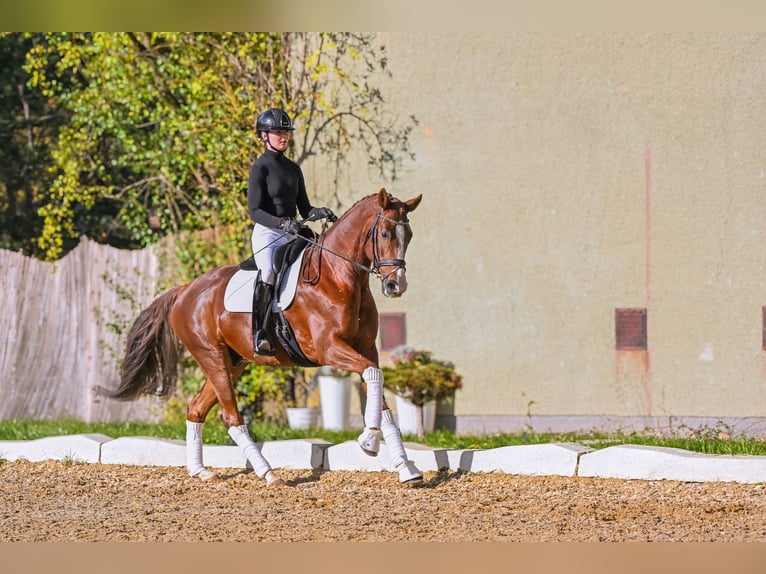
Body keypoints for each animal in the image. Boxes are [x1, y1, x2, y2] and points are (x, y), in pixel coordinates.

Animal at [97, 188, 424, 487]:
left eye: (408, 234)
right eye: (384, 233)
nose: (396, 286)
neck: (338, 277)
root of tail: (184, 290)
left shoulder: (366, 349)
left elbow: (379, 390)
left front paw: (406, 467)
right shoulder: (328, 349)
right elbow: (373, 375)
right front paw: (369, 441)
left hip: (232, 362)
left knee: (196, 409)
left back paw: (200, 471)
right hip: (212, 357)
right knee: (231, 418)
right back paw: (268, 473)